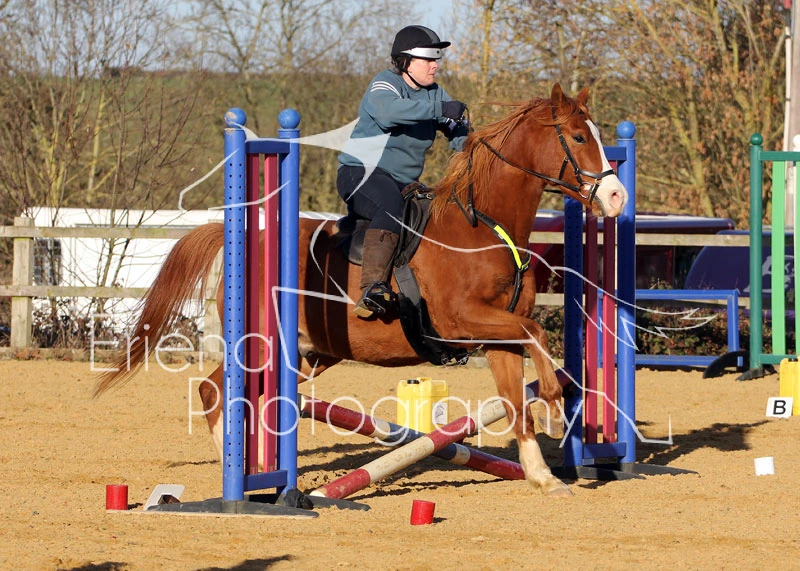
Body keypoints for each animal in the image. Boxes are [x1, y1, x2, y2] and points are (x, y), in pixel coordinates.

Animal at [95, 83, 627, 497]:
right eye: (578, 136)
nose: (617, 196)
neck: (484, 227)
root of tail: (242, 237)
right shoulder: (461, 320)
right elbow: (536, 334)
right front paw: (557, 405)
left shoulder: (496, 335)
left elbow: (518, 400)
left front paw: (542, 475)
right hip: (261, 345)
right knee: (214, 390)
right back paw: (241, 472)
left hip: (305, 355)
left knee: (234, 392)